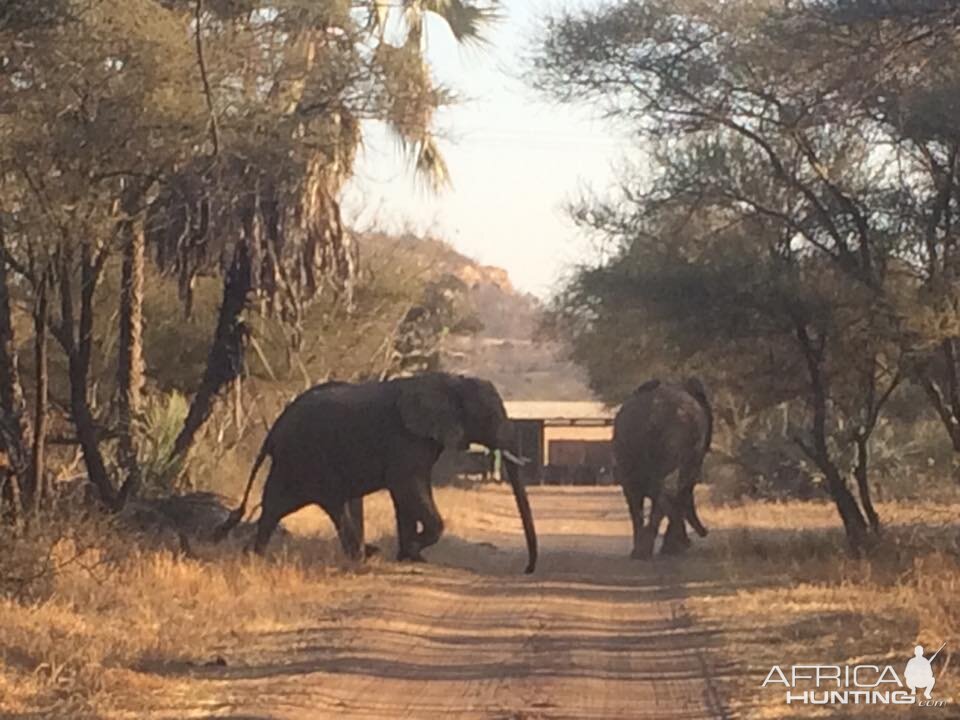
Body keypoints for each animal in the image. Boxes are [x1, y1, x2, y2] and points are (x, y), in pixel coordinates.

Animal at [213, 372, 536, 572]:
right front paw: (413, 551)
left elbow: (409, 492)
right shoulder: (405, 438)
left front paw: (411, 556)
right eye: (490, 416)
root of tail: (274, 430)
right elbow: (408, 487)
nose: (527, 569)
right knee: (323, 503)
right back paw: (361, 556)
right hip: (306, 458)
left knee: (280, 506)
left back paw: (252, 556)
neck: (450, 380)